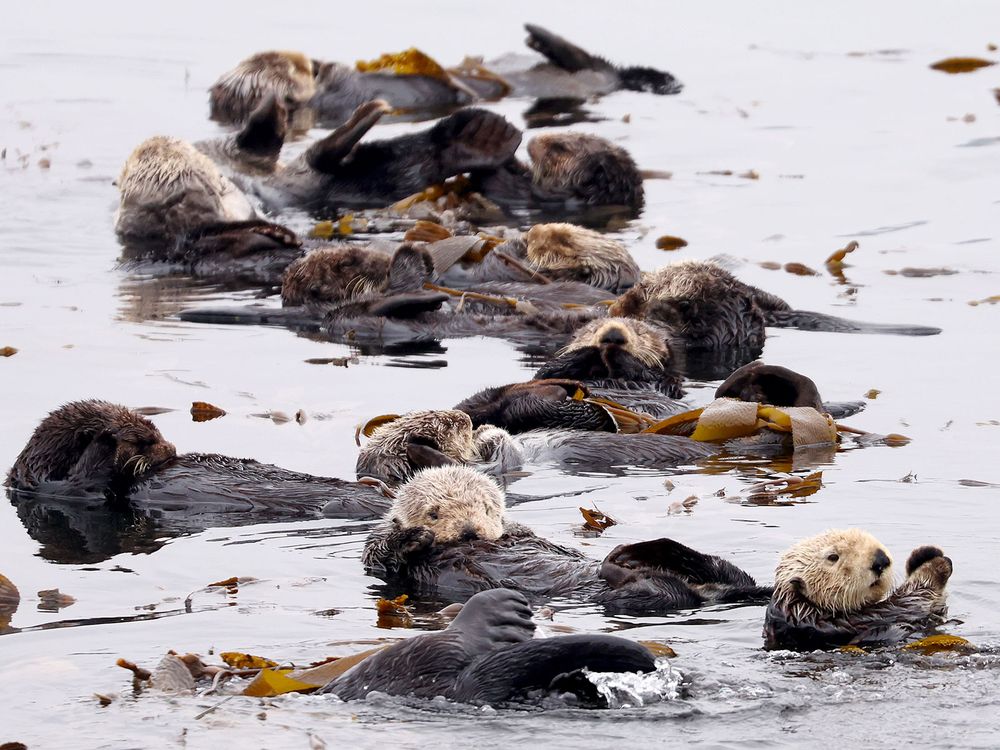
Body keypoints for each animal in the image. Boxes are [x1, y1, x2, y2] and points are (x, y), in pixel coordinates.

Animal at [7, 402, 392, 560]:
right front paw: (109, 435)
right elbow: (93, 481)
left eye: (156, 431)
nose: (171, 449)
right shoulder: (62, 490)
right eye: (145, 441)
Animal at [764, 528, 952, 652]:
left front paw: (925, 553)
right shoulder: (855, 621)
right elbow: (911, 601)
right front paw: (937, 566)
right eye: (833, 557)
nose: (880, 560)